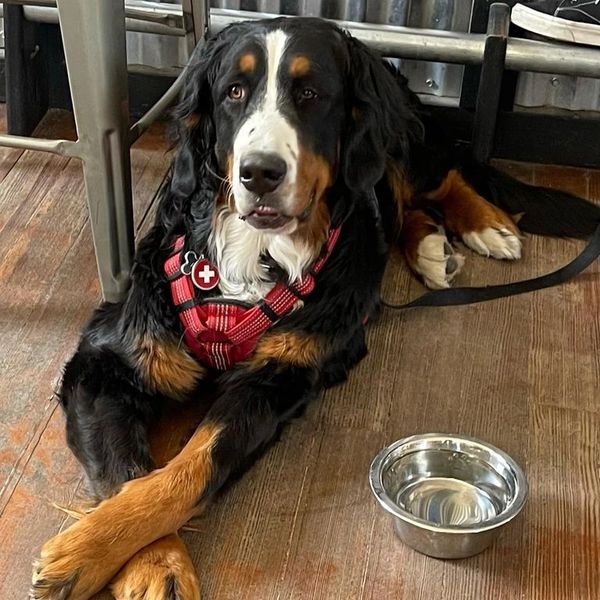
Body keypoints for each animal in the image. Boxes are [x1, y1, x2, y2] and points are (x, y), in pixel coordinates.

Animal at [31, 16, 600, 596]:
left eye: (310, 95)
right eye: (233, 91)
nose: (259, 173)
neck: (255, 256)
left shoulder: (280, 377)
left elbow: (191, 469)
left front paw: (92, 552)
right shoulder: (108, 359)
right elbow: (128, 472)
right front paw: (140, 560)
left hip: (405, 146)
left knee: (440, 177)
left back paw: (488, 225)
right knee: (401, 208)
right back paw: (429, 245)